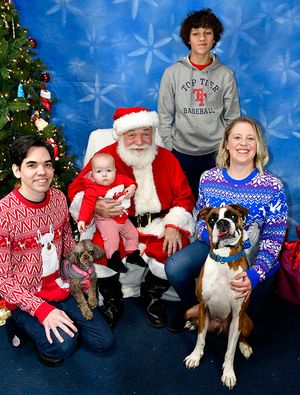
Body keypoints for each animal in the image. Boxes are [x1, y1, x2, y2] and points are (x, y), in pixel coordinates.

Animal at [185, 206, 253, 392]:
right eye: (212, 220)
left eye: (233, 216)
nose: (223, 223)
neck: (224, 258)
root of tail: (218, 329)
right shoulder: (203, 307)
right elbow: (200, 339)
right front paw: (195, 356)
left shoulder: (237, 316)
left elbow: (230, 351)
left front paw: (228, 373)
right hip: (191, 311)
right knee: (199, 326)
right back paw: (191, 324)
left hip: (246, 322)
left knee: (241, 338)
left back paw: (244, 346)